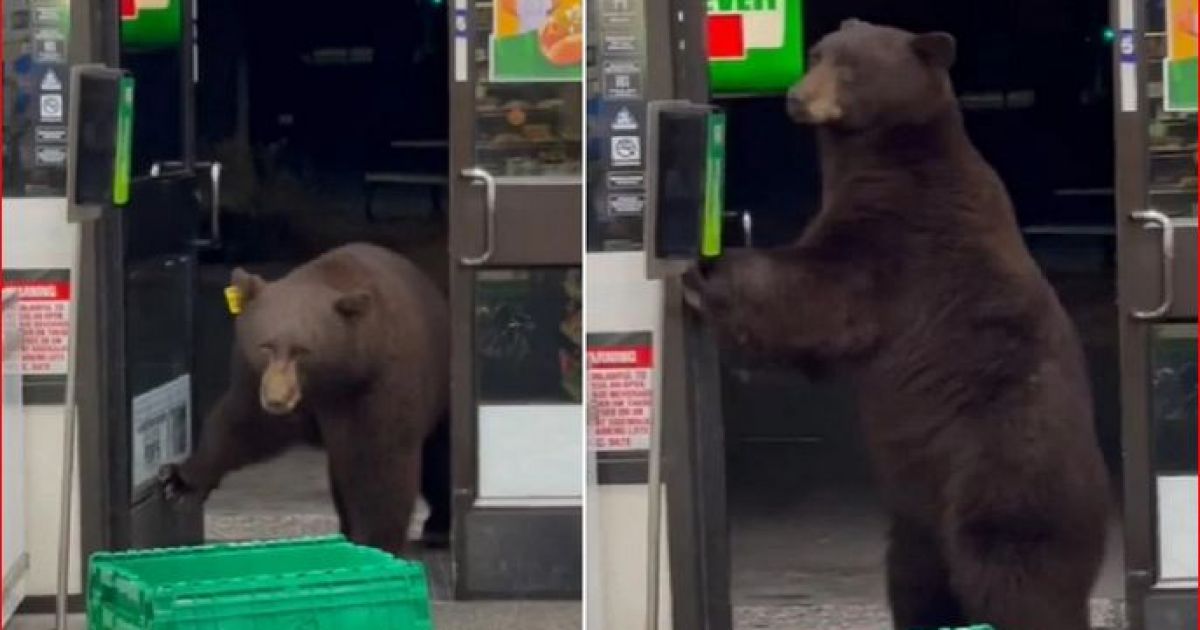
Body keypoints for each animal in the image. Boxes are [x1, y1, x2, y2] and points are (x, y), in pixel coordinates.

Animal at [159, 242, 451, 556]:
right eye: (265, 346)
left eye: (302, 350)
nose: (275, 399)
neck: (332, 379)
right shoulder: (254, 376)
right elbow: (243, 425)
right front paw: (178, 480)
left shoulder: (377, 384)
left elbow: (381, 462)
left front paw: (376, 541)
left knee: (438, 457)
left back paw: (438, 527)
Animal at [684, 20, 1110, 630]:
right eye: (816, 54)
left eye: (851, 67)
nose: (797, 98)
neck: (887, 152)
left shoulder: (904, 233)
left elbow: (825, 290)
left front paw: (706, 270)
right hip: (920, 516)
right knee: (915, 576)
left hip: (1006, 477)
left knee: (1015, 578)